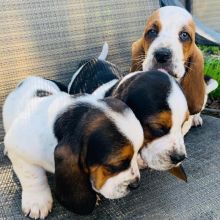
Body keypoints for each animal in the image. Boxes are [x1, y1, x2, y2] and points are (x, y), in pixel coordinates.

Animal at [3, 76, 145, 219]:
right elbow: (32, 176)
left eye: (138, 150)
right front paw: (37, 201)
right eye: (115, 165)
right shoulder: (19, 151)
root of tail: (32, 77)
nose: (135, 185)